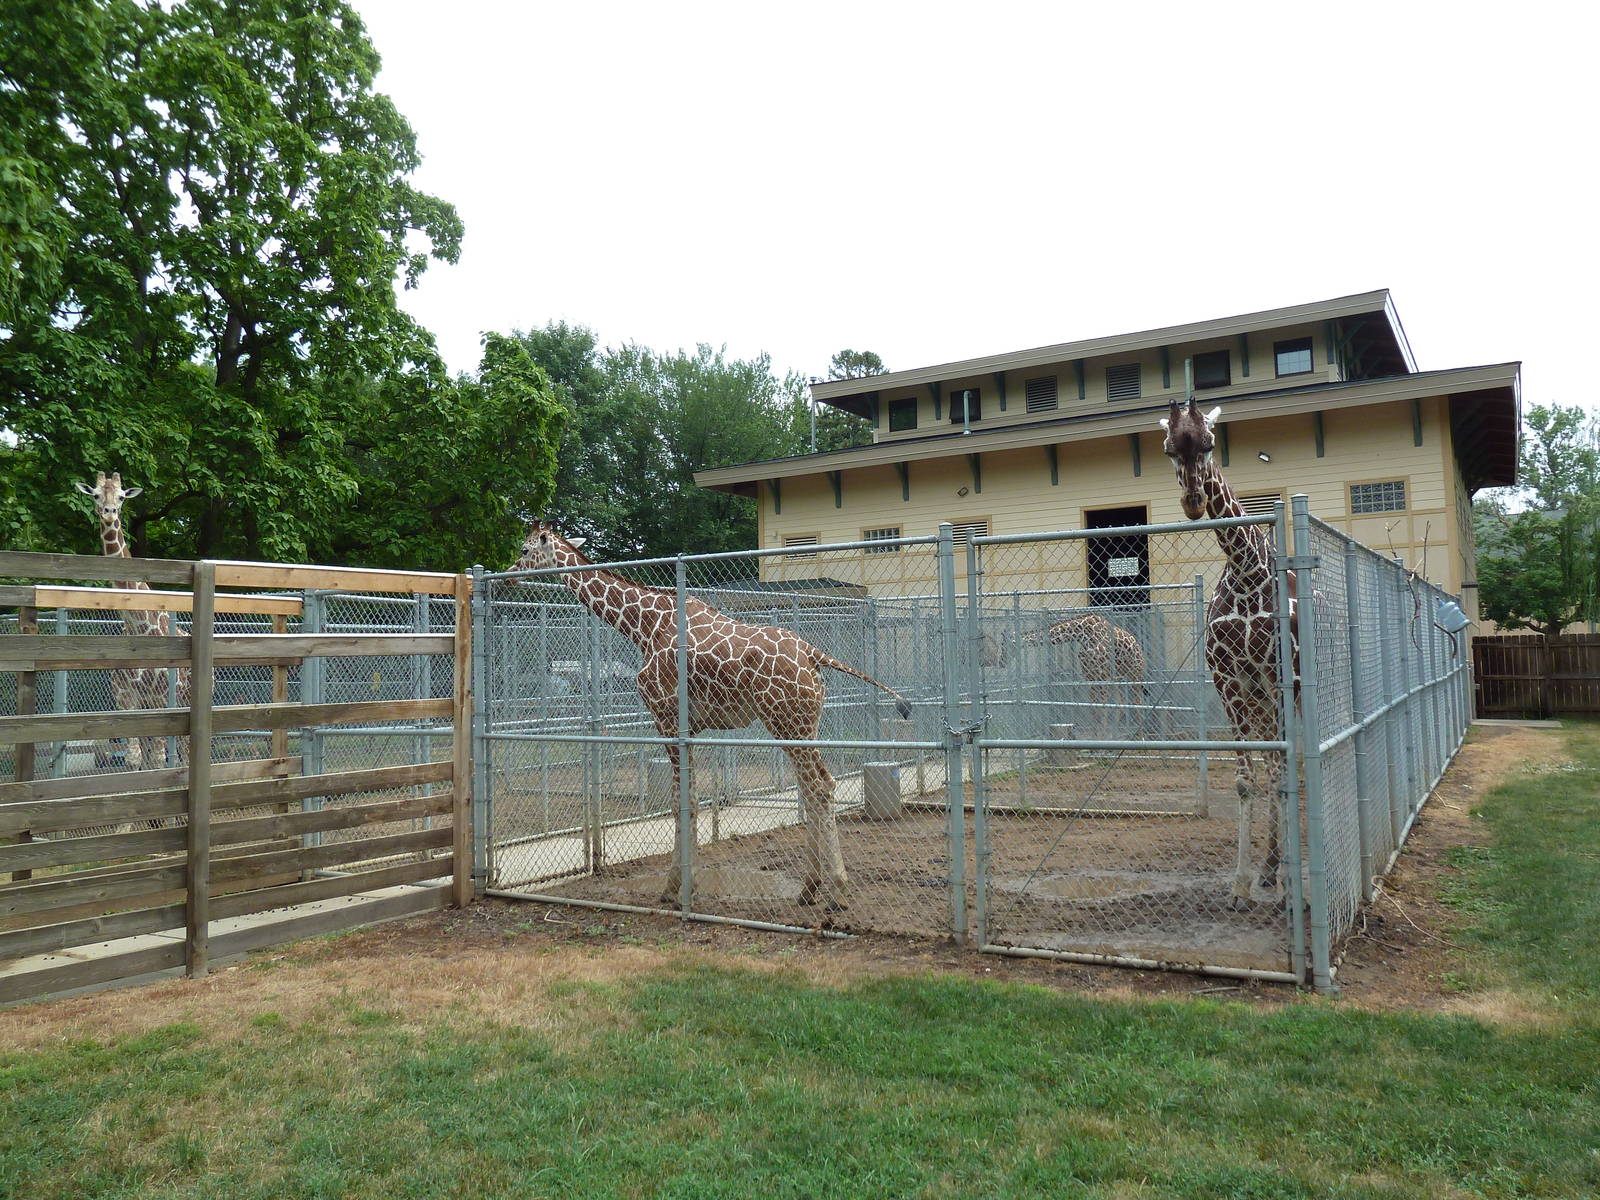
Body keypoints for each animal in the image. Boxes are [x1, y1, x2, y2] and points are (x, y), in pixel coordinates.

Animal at [74, 472, 191, 772]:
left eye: (122, 496)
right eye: (95, 494)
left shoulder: (162, 698)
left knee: (184, 751)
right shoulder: (125, 697)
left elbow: (159, 760)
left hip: (186, 698)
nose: (109, 513)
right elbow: (134, 759)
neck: (137, 624)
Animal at [514, 521, 913, 909]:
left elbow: (682, 802)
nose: (511, 572)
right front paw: (685, 886)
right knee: (813, 787)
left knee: (820, 786)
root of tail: (814, 655)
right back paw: (809, 889)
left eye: (525, 548)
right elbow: (691, 799)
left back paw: (838, 891)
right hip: (803, 723)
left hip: (786, 721)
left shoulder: (667, 717)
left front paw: (675, 890)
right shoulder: (688, 727)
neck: (643, 626)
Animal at [1159, 397, 1297, 904]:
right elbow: (1244, 780)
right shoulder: (1228, 680)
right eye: (1169, 448)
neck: (1246, 568)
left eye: (1210, 442)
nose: (1195, 502)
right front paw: (1242, 883)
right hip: (1257, 699)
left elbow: (1281, 771)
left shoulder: (1280, 677)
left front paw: (1285, 885)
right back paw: (1270, 866)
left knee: (1292, 763)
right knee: (1272, 764)